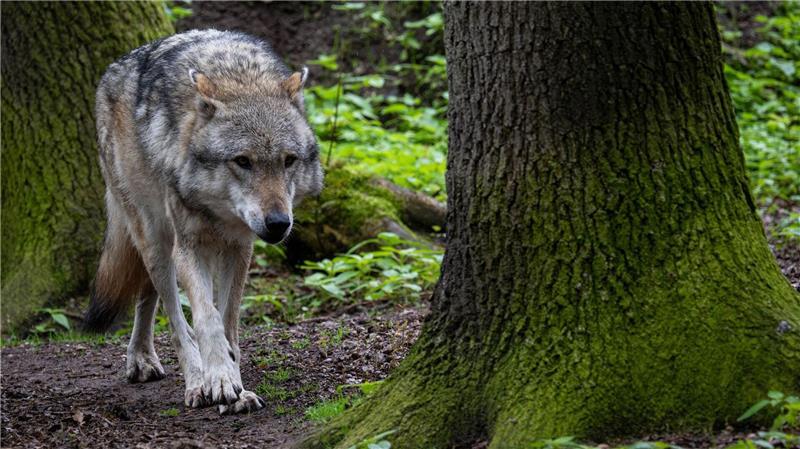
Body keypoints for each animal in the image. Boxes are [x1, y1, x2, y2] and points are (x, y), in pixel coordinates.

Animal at [84, 29, 323, 414]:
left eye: (289, 160)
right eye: (242, 161)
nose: (278, 223)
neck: (238, 76)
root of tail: (112, 69)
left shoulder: (239, 249)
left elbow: (228, 322)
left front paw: (237, 386)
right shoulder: (189, 247)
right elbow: (206, 320)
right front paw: (219, 381)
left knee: (147, 296)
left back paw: (144, 357)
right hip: (156, 240)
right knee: (174, 316)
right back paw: (194, 382)